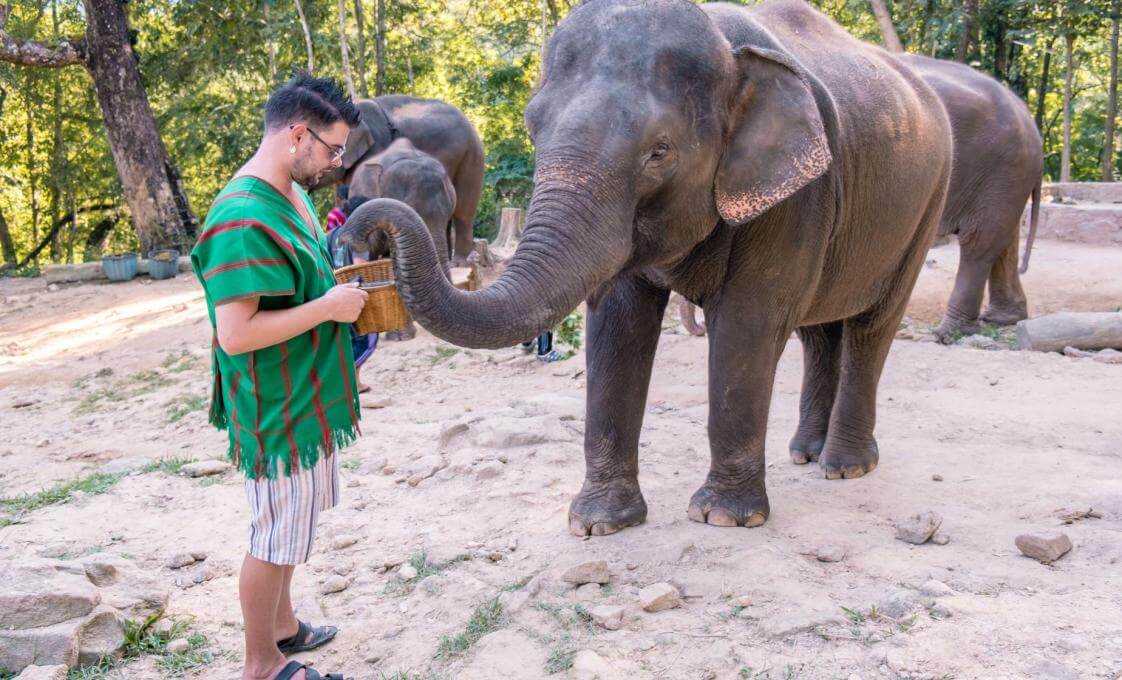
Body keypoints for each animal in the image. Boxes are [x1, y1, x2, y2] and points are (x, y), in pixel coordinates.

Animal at [338, 0, 946, 538]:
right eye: (534, 130)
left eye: (660, 151)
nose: (359, 226)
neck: (725, 44)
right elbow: (617, 323)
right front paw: (599, 524)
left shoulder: (798, 195)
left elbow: (748, 323)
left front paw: (724, 518)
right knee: (818, 331)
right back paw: (806, 454)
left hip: (928, 203)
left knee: (872, 326)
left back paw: (844, 467)